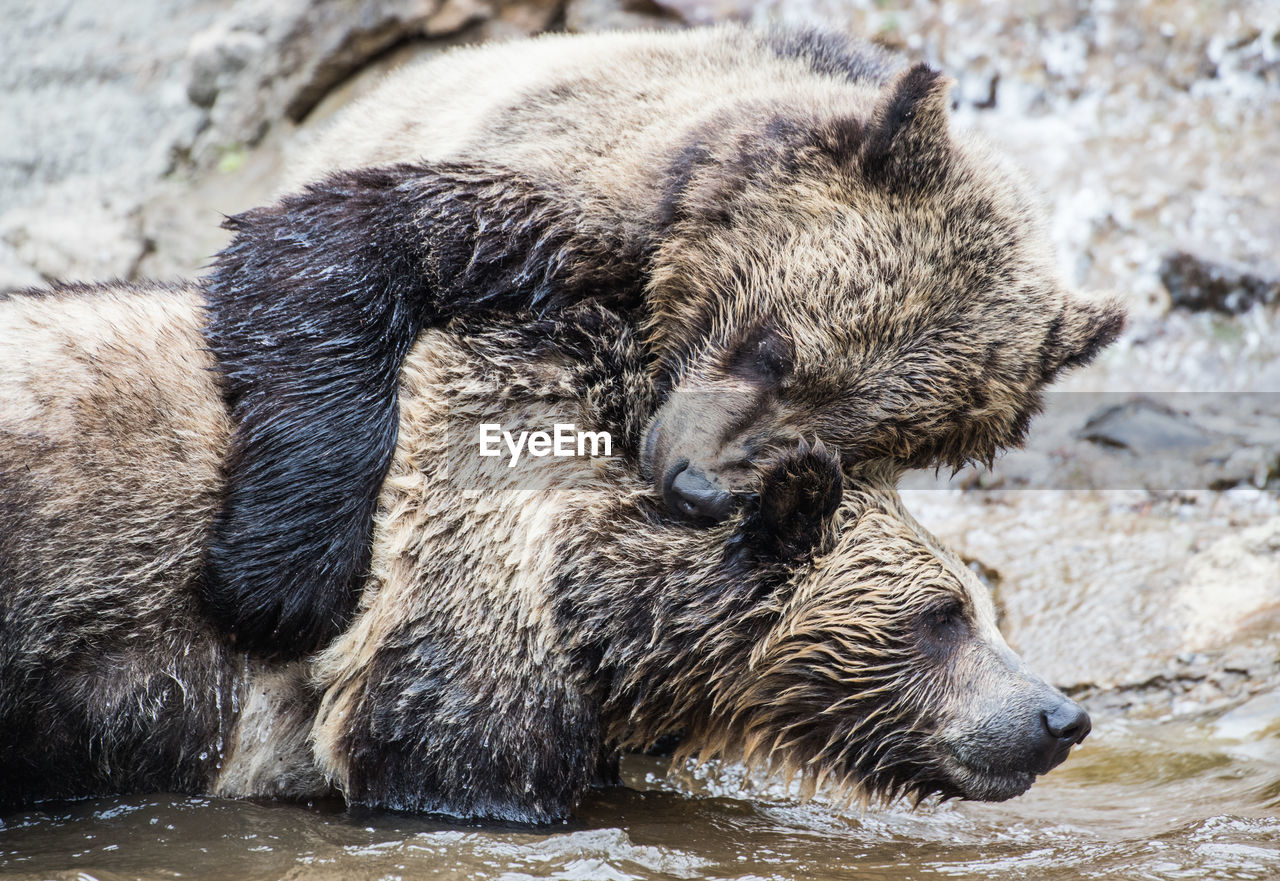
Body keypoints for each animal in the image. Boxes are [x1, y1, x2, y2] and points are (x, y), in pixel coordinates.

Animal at [197, 24, 1121, 655]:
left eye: (880, 438)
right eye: (773, 349)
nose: (699, 487)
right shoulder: (561, 204)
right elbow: (336, 250)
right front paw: (283, 583)